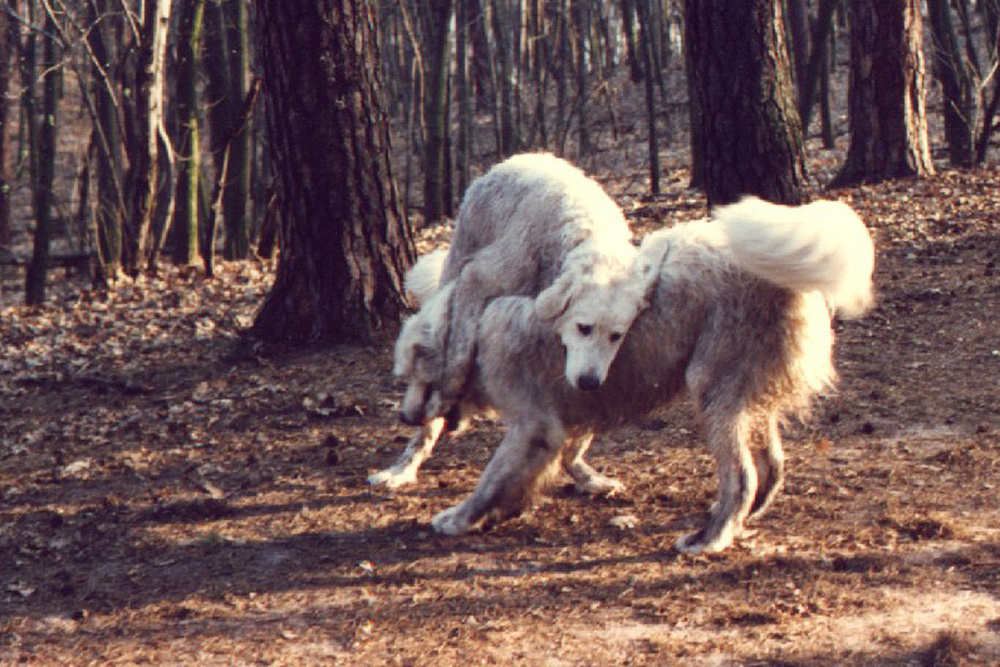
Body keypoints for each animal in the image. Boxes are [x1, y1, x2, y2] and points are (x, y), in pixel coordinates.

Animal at [372, 154, 644, 494]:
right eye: (584, 327)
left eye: (616, 336)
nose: (589, 382)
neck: (582, 237)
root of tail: (518, 158)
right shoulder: (477, 282)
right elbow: (457, 361)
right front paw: (445, 397)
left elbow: (576, 432)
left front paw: (585, 474)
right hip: (458, 267)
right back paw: (402, 466)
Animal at [430, 196, 876, 556]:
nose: (420, 418)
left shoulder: (534, 424)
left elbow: (492, 478)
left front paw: (458, 518)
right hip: (747, 394)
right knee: (773, 466)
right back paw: (742, 518)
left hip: (711, 389)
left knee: (742, 478)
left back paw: (709, 539)